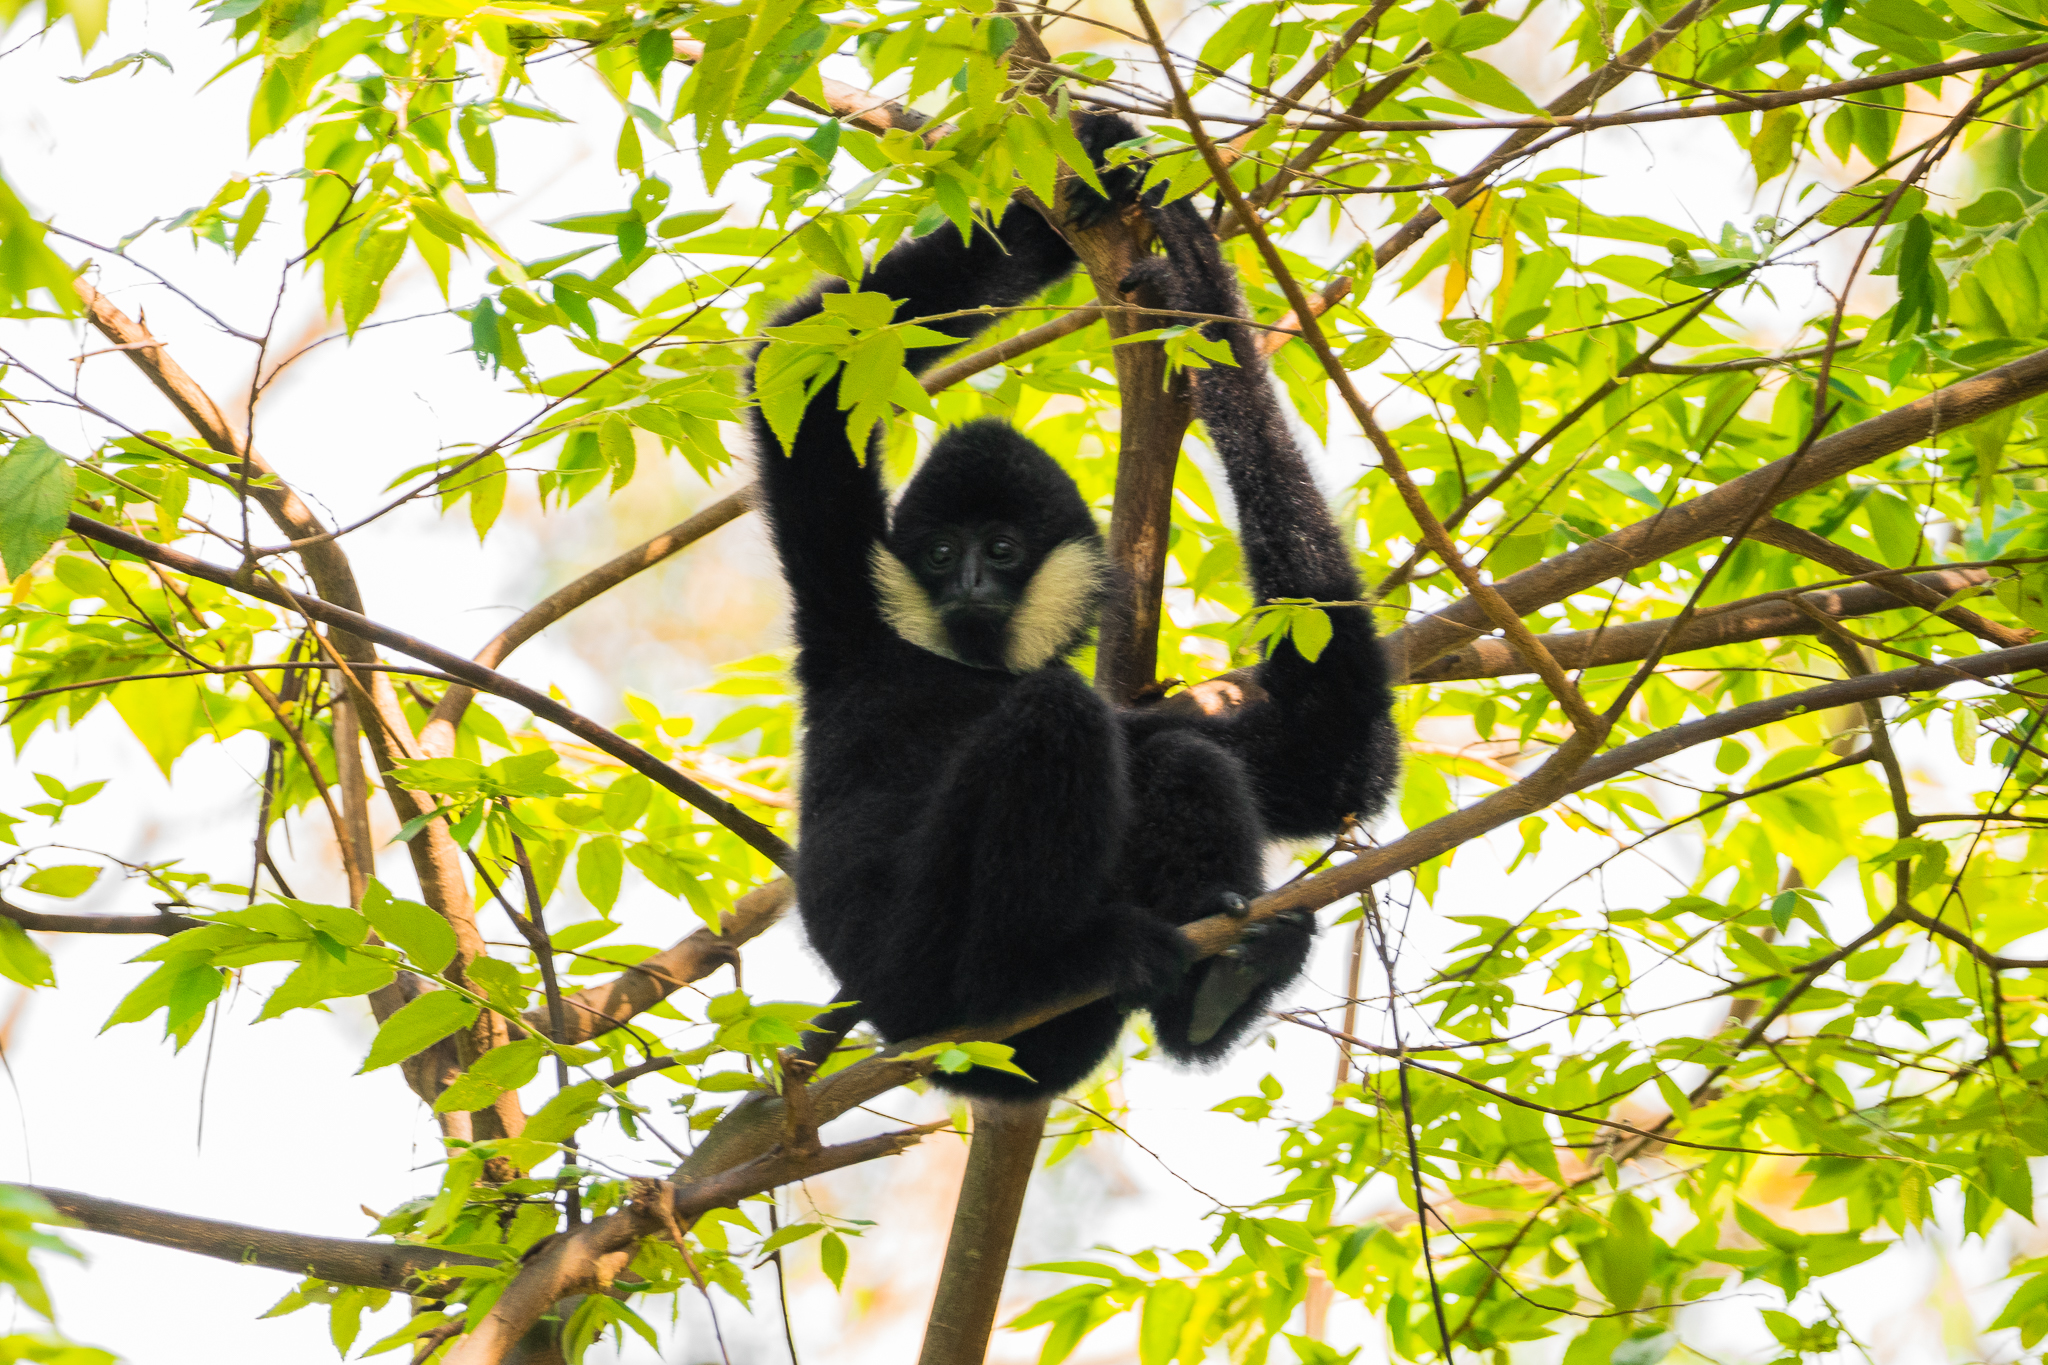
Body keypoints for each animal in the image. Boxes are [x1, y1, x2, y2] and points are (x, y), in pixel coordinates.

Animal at [748, 113, 1400, 1101]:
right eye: (940, 554)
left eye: (1002, 551)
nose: (969, 584)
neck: (961, 664)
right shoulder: (848, 614)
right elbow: (803, 366)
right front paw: (1165, 231)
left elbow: (1330, 757)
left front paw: (1121, 183)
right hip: (928, 965)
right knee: (1057, 715)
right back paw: (1034, 971)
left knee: (1175, 756)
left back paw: (1213, 996)